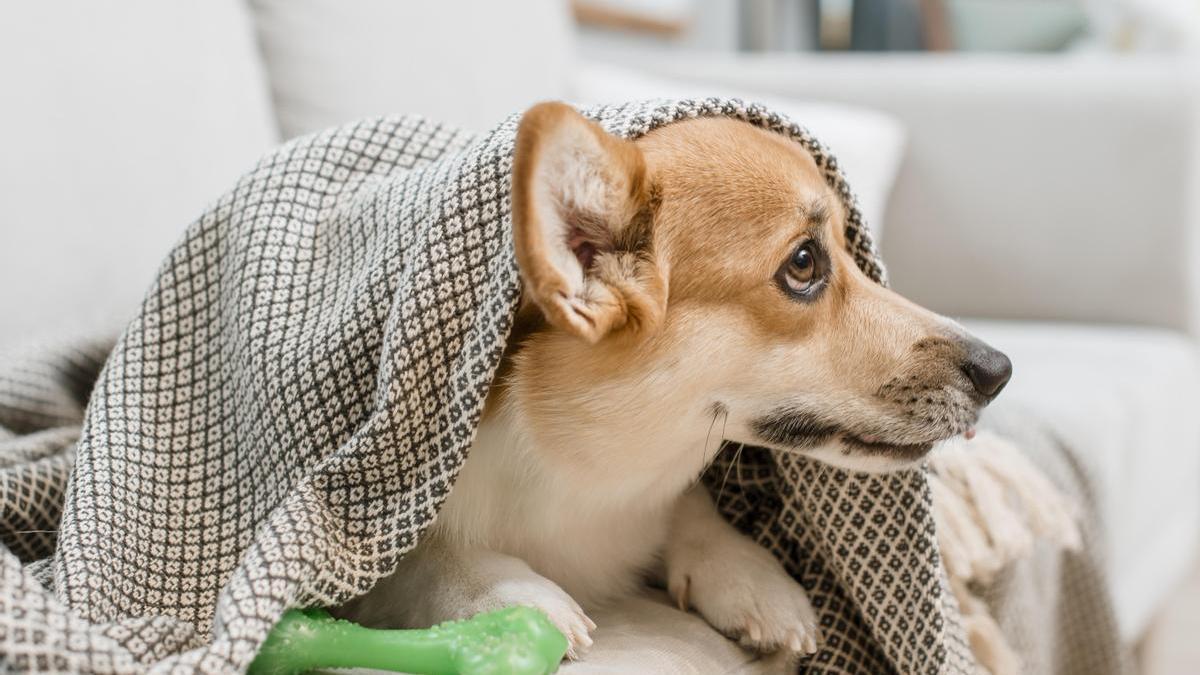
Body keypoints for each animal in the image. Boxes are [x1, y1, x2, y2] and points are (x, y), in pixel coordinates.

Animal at [340, 102, 1012, 658]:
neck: (581, 471)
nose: (998, 371)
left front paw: (749, 576)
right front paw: (509, 594)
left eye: (851, 249)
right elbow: (421, 559)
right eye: (803, 263)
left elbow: (691, 508)